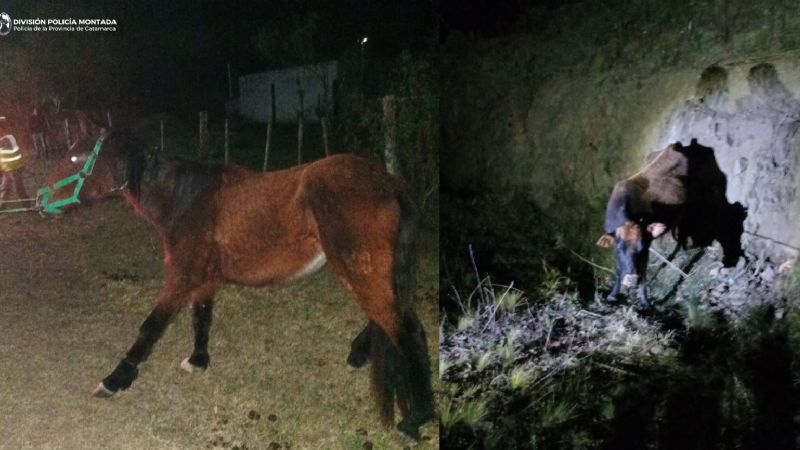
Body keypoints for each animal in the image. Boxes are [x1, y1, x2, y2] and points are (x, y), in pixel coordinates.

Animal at [87, 131, 434, 438]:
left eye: (85, 157)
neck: (187, 198)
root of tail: (389, 183)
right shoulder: (205, 279)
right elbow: (201, 317)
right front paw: (198, 361)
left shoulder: (183, 276)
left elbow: (151, 326)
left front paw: (115, 380)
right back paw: (360, 356)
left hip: (360, 271)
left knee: (407, 331)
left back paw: (416, 418)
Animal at [596, 139, 747, 310]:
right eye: (619, 249)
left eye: (641, 249)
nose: (632, 279)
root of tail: (675, 145)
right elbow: (617, 269)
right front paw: (613, 295)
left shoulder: (647, 247)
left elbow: (644, 273)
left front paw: (645, 302)